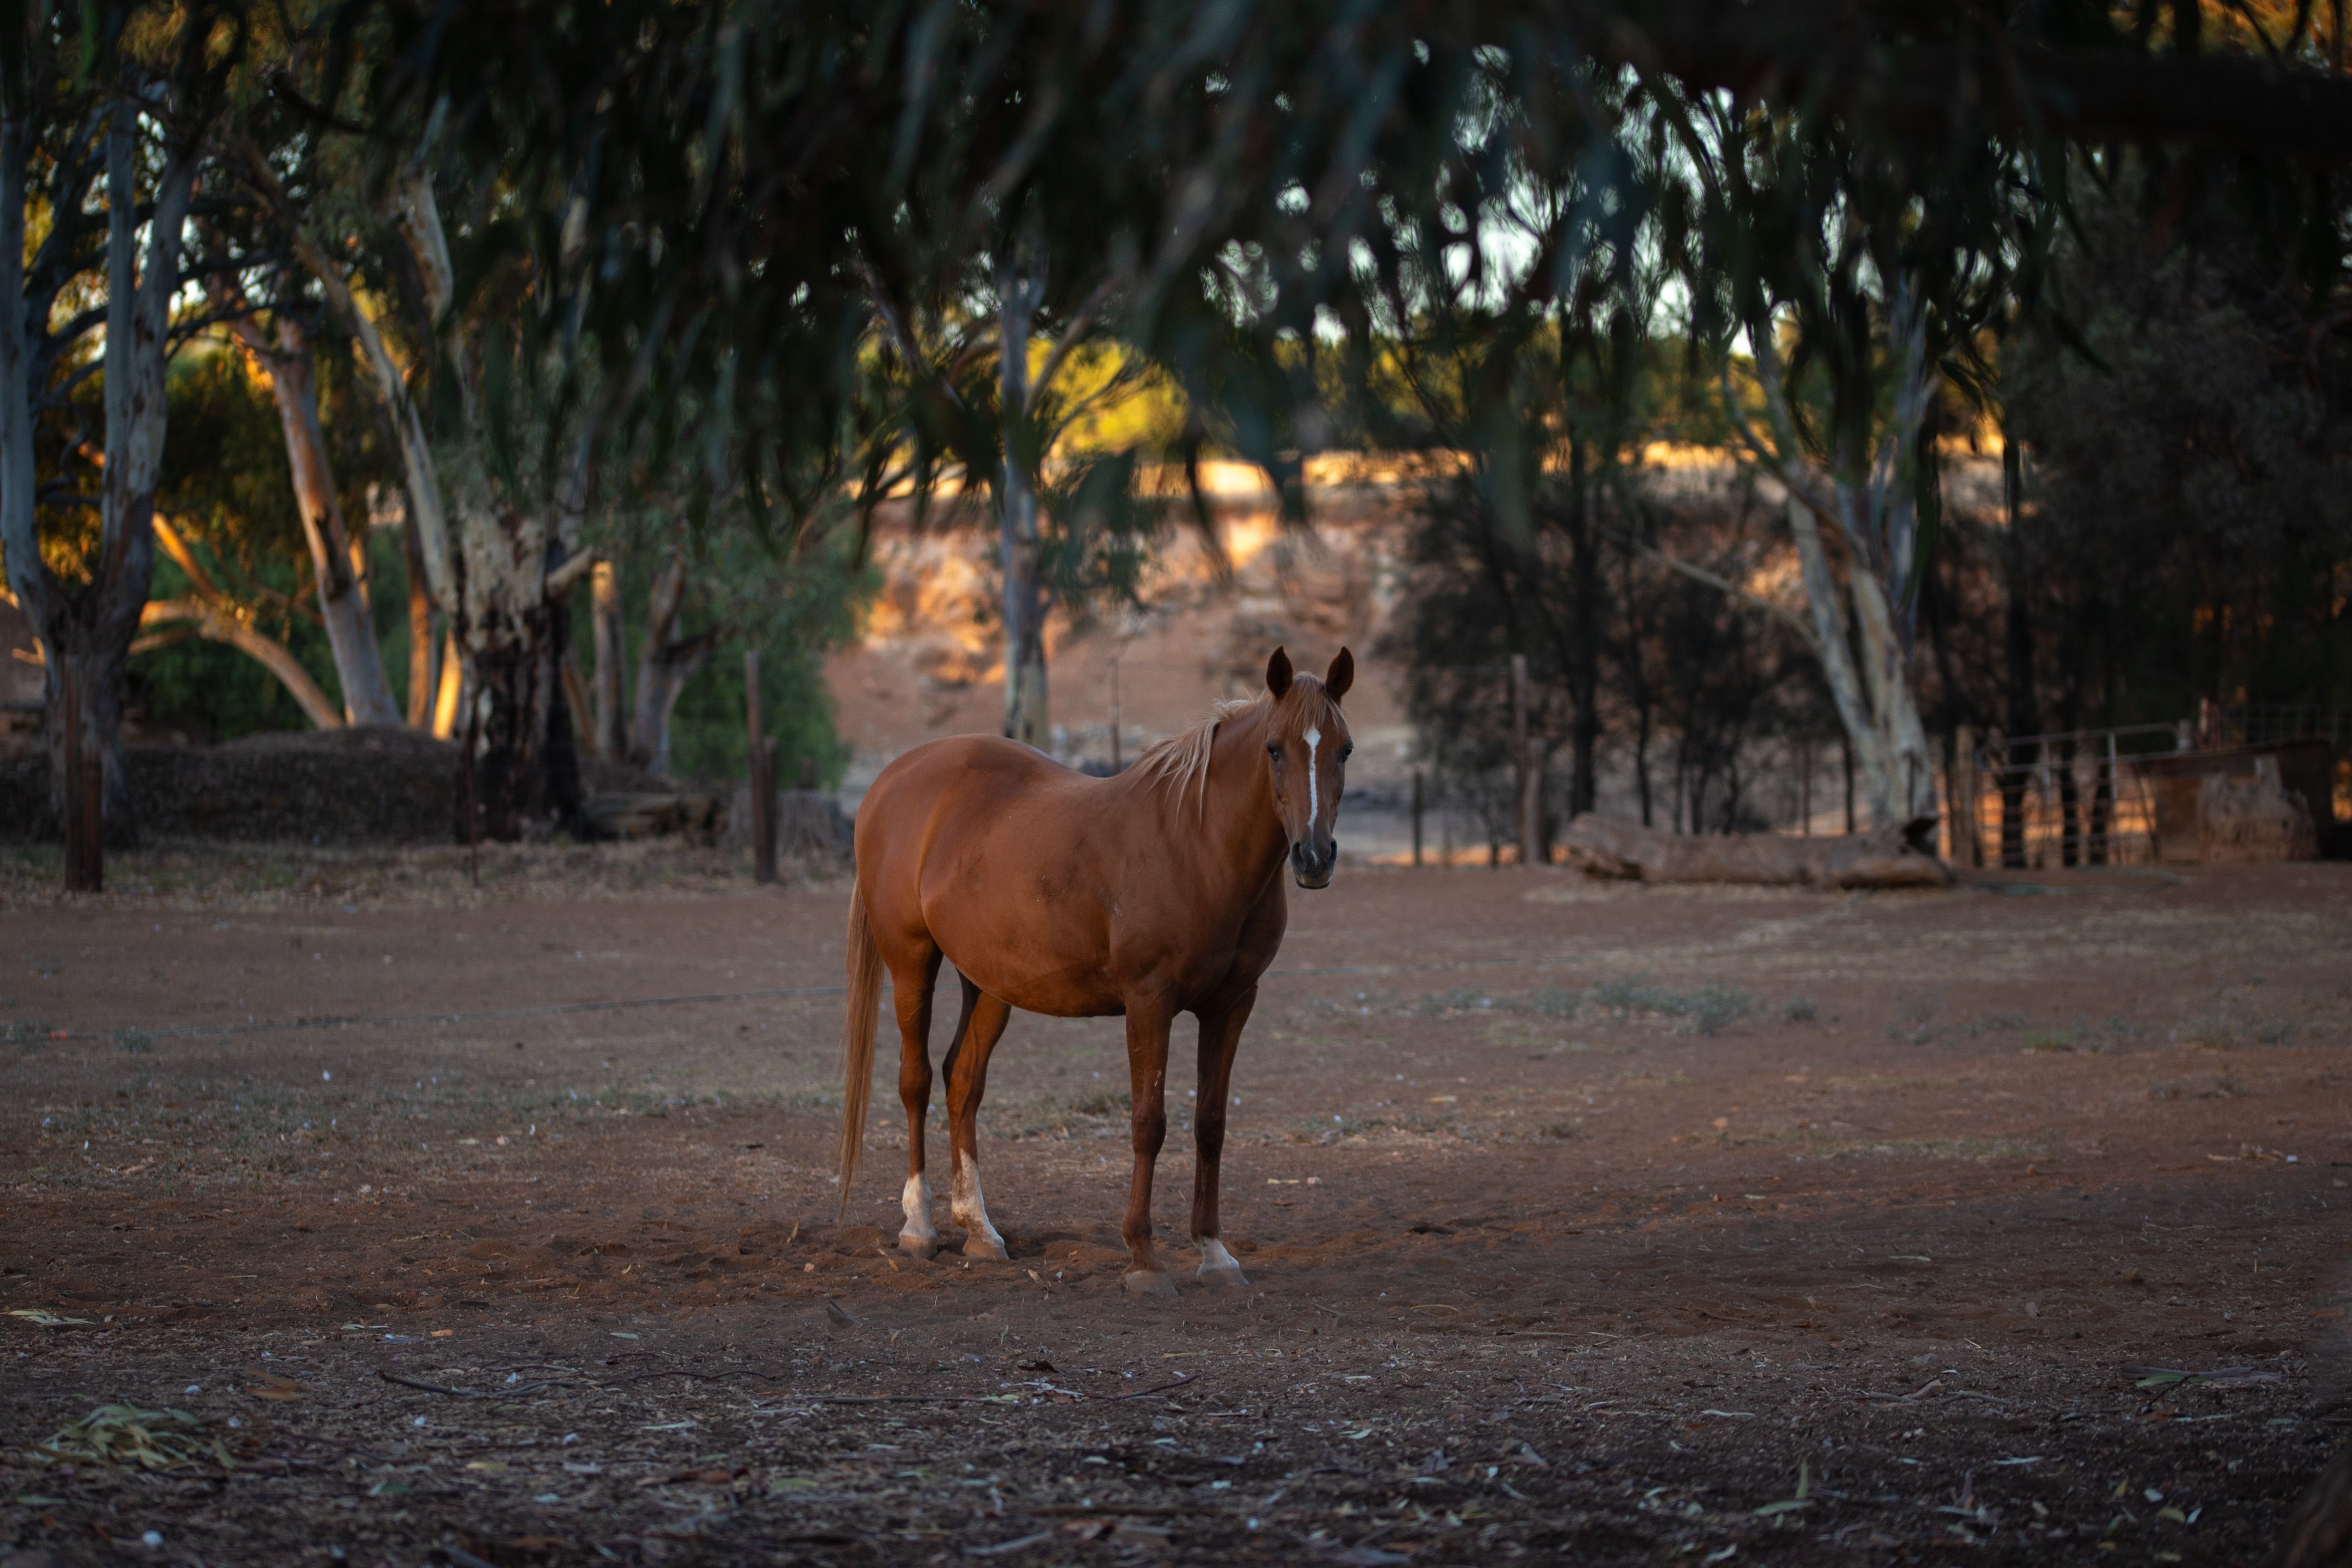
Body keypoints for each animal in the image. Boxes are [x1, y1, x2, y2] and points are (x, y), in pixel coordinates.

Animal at [834, 646, 1355, 1296]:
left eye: (1345, 748)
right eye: (1274, 748)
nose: (1313, 857)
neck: (1199, 844)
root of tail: (890, 782)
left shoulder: (1232, 1004)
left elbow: (1210, 1123)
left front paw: (1214, 1252)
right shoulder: (1149, 1002)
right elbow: (1149, 1123)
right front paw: (1144, 1259)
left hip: (990, 983)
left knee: (962, 1082)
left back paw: (980, 1230)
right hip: (911, 961)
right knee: (917, 1080)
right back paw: (919, 1227)